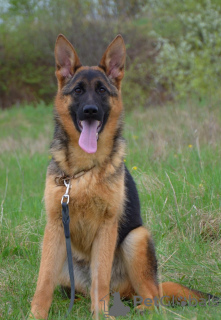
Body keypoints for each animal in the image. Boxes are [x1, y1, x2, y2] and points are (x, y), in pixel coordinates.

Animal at [30, 35, 218, 320]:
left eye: (101, 91)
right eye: (78, 91)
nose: (90, 110)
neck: (86, 169)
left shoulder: (107, 227)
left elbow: (100, 281)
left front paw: (101, 315)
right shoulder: (54, 227)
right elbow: (43, 282)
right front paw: (35, 314)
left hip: (136, 238)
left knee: (153, 297)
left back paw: (137, 309)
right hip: (66, 262)